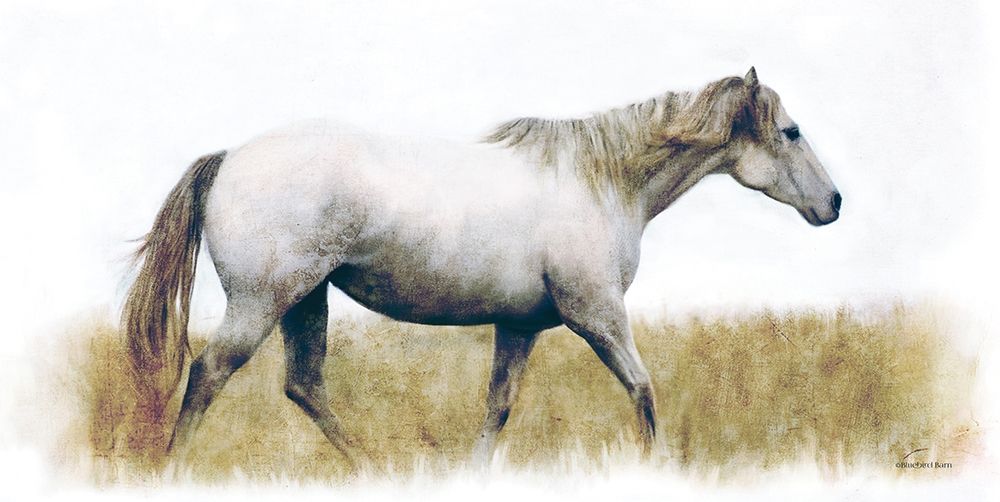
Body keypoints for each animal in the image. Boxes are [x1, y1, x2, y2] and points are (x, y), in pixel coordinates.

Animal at [121, 68, 841, 469]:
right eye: (791, 132)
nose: (833, 203)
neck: (601, 182)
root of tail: (229, 158)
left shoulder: (519, 327)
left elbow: (498, 409)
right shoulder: (597, 315)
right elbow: (643, 392)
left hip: (306, 301)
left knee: (304, 386)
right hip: (262, 303)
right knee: (208, 375)